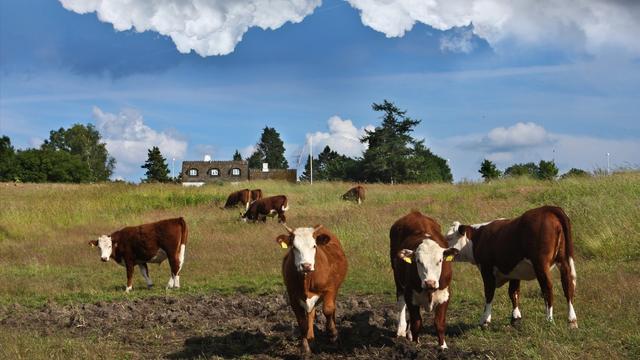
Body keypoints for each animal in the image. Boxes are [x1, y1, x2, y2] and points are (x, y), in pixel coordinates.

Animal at [274, 222, 344, 354]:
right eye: (294, 247)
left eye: (314, 246)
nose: (306, 265)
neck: (306, 280)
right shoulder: (293, 297)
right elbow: (302, 322)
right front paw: (305, 349)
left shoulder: (330, 289)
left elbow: (328, 309)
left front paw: (332, 334)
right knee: (311, 312)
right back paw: (310, 336)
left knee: (331, 308)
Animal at [388, 211, 458, 348]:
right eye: (418, 261)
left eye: (440, 260)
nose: (429, 282)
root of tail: (415, 214)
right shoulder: (410, 294)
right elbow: (416, 322)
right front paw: (416, 345)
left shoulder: (445, 294)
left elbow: (439, 323)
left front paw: (443, 346)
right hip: (398, 278)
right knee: (401, 302)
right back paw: (401, 330)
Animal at [444, 205, 580, 330]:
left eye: (449, 237)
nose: (443, 250)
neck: (477, 238)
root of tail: (547, 208)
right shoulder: (515, 271)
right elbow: (513, 292)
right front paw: (515, 318)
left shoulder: (487, 268)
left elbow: (489, 293)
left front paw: (485, 320)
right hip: (564, 261)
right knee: (568, 286)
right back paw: (572, 320)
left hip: (541, 264)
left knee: (548, 289)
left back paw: (549, 320)